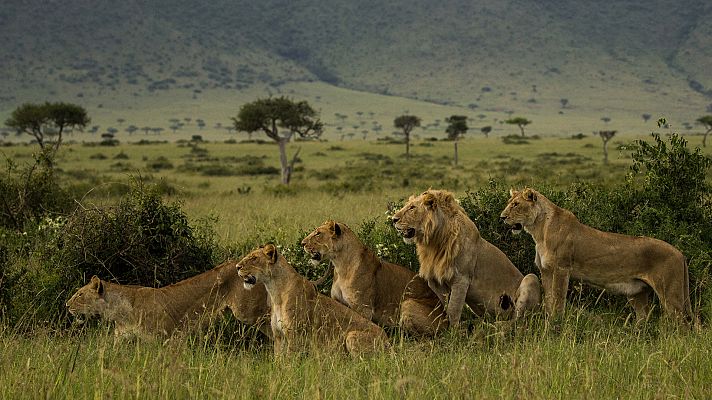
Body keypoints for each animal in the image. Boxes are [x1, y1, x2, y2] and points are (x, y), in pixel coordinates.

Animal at [236, 244, 389, 357]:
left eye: (254, 258)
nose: (237, 267)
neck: (275, 292)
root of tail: (388, 341)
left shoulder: (294, 336)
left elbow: (289, 363)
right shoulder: (279, 337)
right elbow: (278, 360)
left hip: (351, 336)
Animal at [301, 220, 447, 337]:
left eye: (318, 233)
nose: (302, 243)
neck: (340, 266)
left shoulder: (363, 308)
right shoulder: (338, 301)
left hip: (408, 303)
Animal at [391, 189, 540, 328]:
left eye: (412, 208)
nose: (393, 219)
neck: (434, 241)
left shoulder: (461, 278)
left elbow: (453, 309)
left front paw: (454, 333)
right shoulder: (435, 281)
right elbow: (445, 306)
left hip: (531, 279)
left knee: (519, 321)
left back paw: (494, 325)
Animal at [500, 188, 693, 323]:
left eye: (516, 204)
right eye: (509, 202)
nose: (502, 217)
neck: (539, 231)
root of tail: (680, 254)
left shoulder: (562, 268)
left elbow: (558, 299)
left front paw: (556, 323)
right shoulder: (546, 270)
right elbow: (548, 299)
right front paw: (549, 319)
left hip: (671, 294)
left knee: (681, 324)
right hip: (638, 293)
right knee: (644, 319)